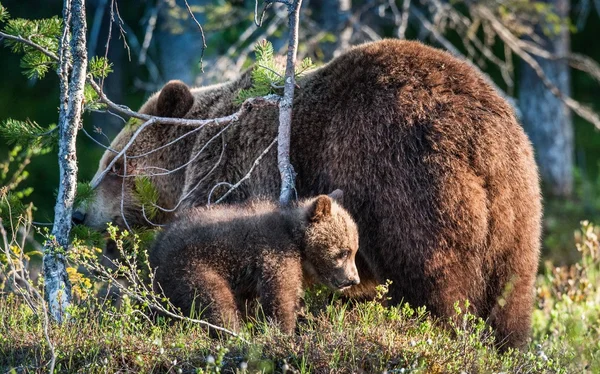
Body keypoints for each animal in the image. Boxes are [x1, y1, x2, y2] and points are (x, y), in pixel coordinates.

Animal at [72, 38, 540, 348]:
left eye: (116, 166)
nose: (79, 213)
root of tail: (480, 142)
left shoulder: (238, 166)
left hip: (407, 185)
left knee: (434, 280)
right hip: (517, 210)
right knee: (512, 297)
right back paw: (507, 347)